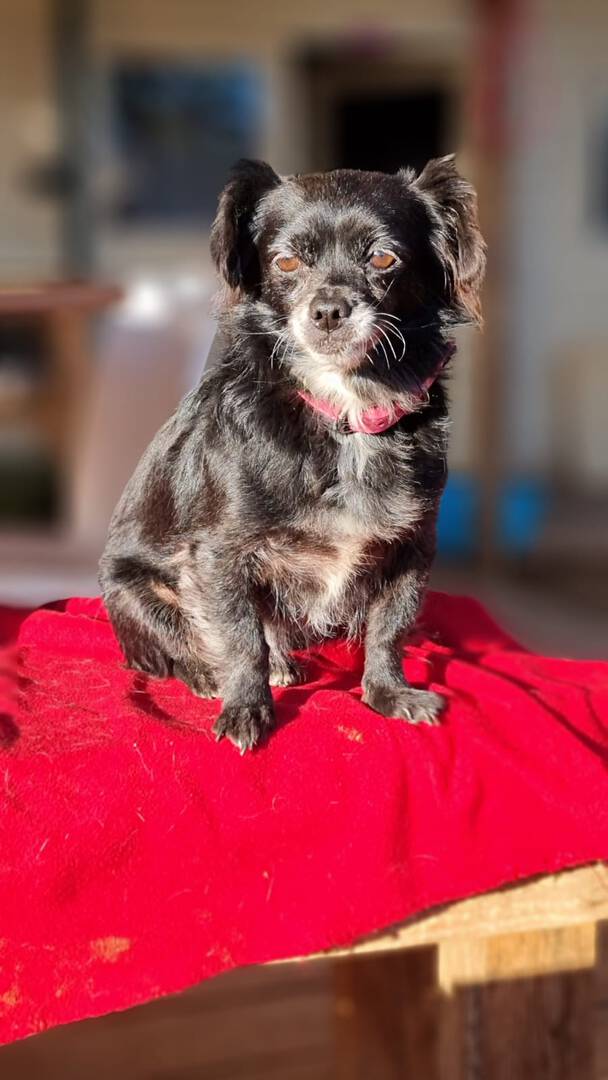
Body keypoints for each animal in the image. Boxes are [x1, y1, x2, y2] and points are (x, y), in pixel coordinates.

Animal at [99, 155, 485, 752]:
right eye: (286, 261)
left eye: (383, 258)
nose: (327, 309)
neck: (347, 415)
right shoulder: (218, 556)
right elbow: (238, 638)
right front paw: (246, 709)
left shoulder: (412, 549)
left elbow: (390, 628)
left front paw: (387, 693)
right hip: (137, 591)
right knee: (178, 647)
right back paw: (210, 674)